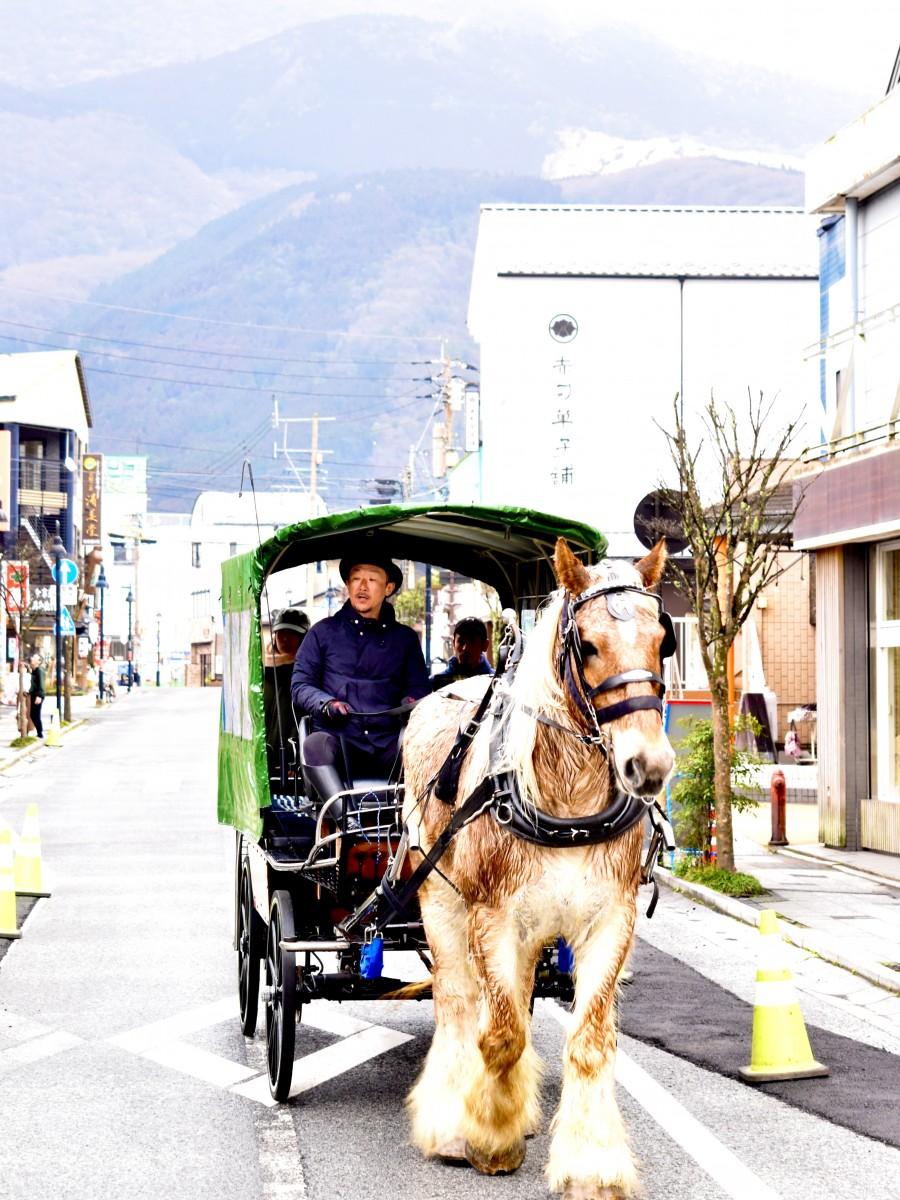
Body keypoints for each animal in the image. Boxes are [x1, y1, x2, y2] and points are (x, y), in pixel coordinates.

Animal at [400, 537, 676, 1199]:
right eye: (589, 645)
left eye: (663, 640)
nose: (650, 765)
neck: (569, 806)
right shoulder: (493, 916)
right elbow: (498, 1034)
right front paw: (487, 1140)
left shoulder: (611, 920)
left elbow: (590, 1041)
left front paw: (591, 1164)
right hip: (441, 901)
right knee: (457, 1002)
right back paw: (450, 1119)